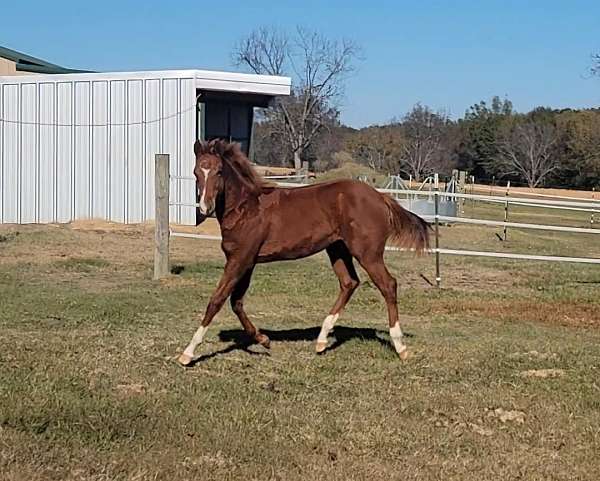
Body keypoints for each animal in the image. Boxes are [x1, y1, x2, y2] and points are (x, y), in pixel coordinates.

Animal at [176, 139, 428, 364]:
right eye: (197, 172)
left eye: (219, 172)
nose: (205, 207)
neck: (245, 208)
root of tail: (382, 197)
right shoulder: (247, 261)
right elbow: (236, 302)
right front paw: (264, 339)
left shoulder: (240, 259)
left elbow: (217, 300)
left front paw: (188, 352)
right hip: (337, 249)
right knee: (349, 282)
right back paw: (321, 341)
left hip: (368, 253)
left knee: (388, 285)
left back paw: (400, 347)